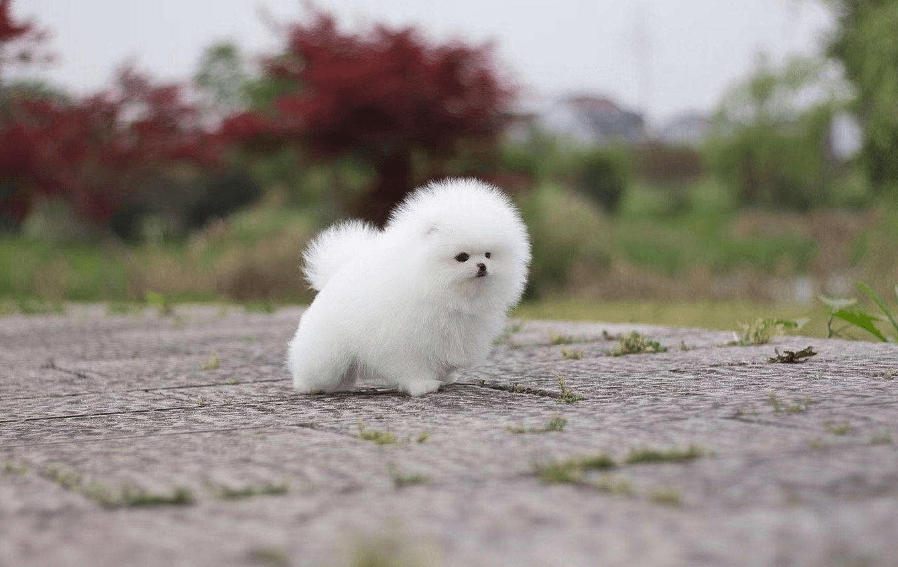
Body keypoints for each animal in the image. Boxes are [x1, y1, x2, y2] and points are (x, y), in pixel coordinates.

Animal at [288, 178, 528, 394]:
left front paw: (446, 377)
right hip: (327, 354)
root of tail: (334, 275)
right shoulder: (407, 340)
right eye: (462, 257)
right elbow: (413, 367)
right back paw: (308, 386)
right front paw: (423, 386)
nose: (482, 266)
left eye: (488, 254)